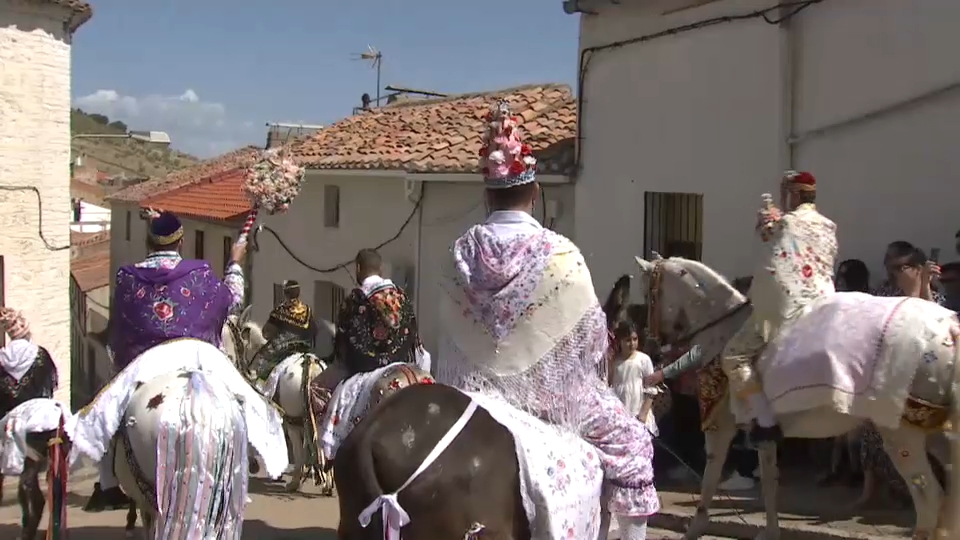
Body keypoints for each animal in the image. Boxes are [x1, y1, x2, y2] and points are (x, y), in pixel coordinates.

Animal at [636, 254, 960, 540]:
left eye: (649, 295)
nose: (652, 345)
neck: (723, 331)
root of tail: (948, 329)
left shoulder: (720, 427)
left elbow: (710, 477)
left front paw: (695, 529)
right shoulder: (763, 434)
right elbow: (770, 482)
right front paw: (769, 532)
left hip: (901, 435)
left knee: (930, 498)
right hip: (933, 429)